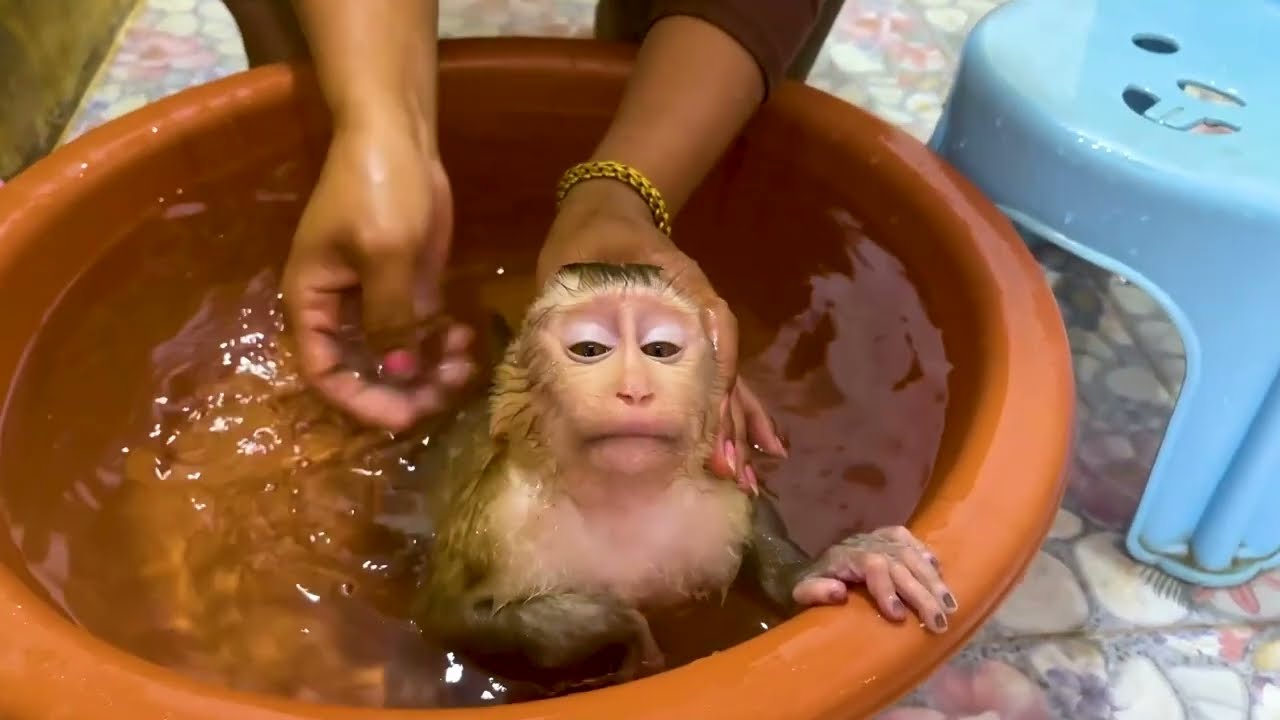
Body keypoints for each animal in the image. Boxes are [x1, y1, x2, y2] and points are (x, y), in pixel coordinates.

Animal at [411, 262, 958, 694]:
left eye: (659, 349)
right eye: (589, 348)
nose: (634, 390)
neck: (621, 498)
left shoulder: (716, 503)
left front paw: (825, 568)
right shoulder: (500, 524)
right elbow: (450, 619)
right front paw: (610, 622)